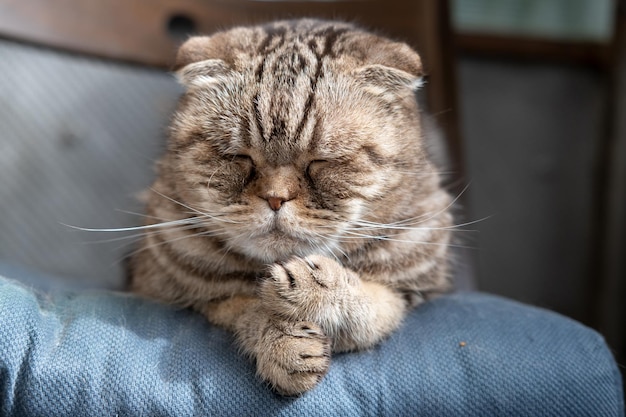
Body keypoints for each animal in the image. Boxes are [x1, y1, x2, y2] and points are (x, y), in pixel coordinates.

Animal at [128, 17, 448, 394]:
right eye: (239, 157)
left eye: (321, 161)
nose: (275, 198)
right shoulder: (175, 295)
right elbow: (244, 308)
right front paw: (280, 340)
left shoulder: (417, 291)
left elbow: (371, 307)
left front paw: (314, 288)